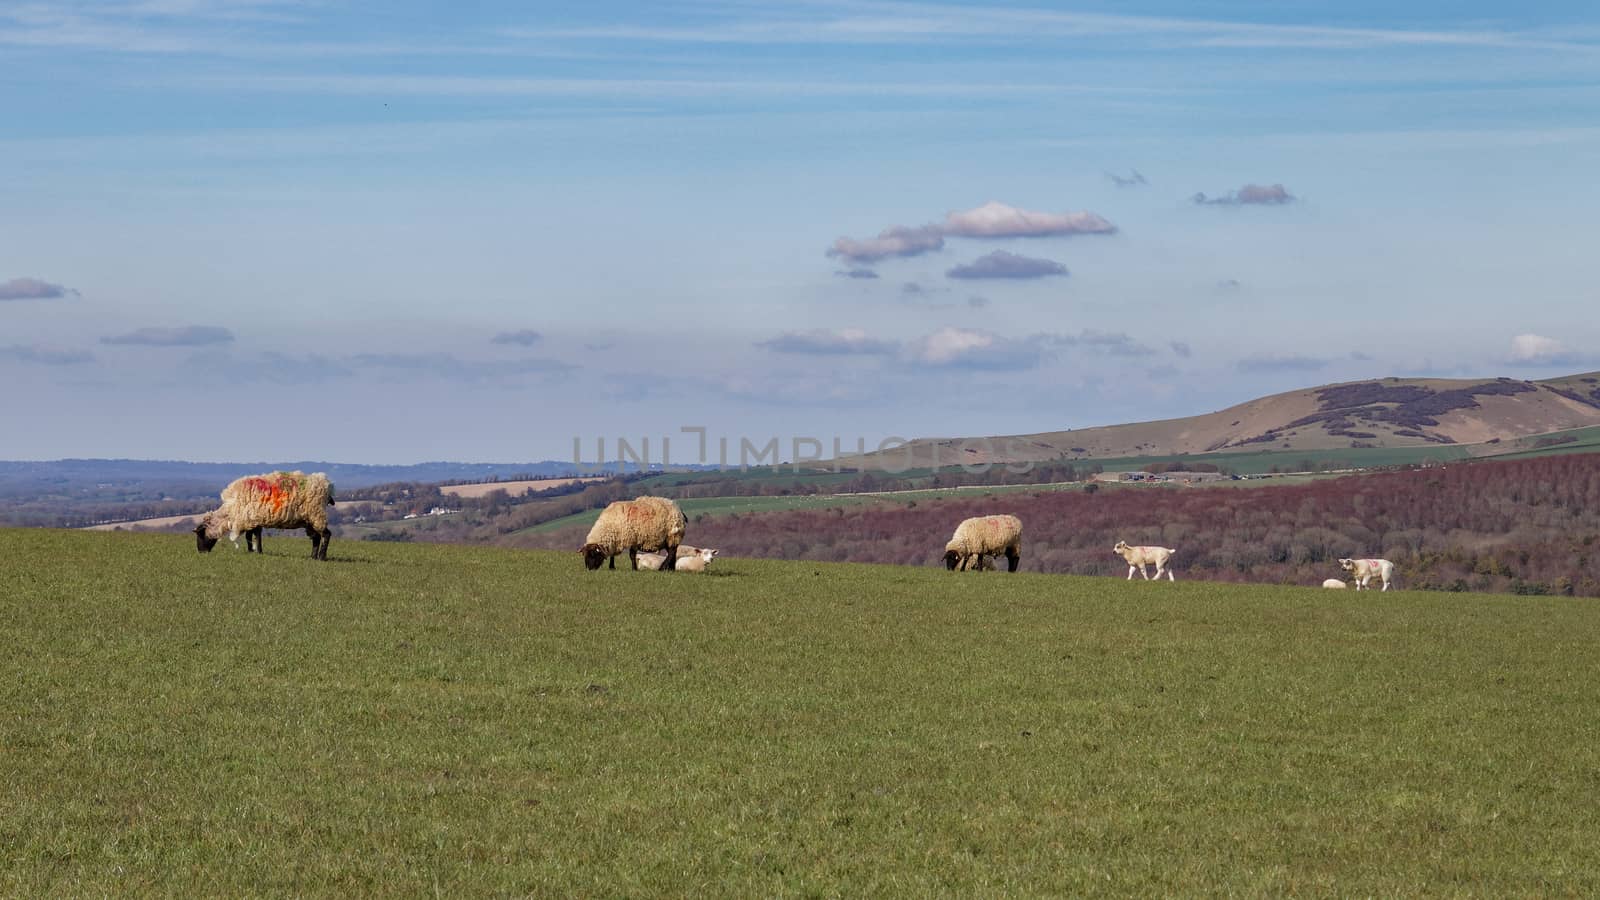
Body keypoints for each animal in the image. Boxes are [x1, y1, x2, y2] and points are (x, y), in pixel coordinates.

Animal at [197, 474, 340, 557]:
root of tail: (327, 485)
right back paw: (313, 557)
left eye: (200, 534)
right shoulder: (254, 520)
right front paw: (255, 551)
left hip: (316, 513)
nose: (200, 552)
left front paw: (255, 551)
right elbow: (254, 536)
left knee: (326, 534)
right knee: (316, 537)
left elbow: (252, 536)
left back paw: (321, 557)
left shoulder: (251, 519)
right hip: (309, 519)